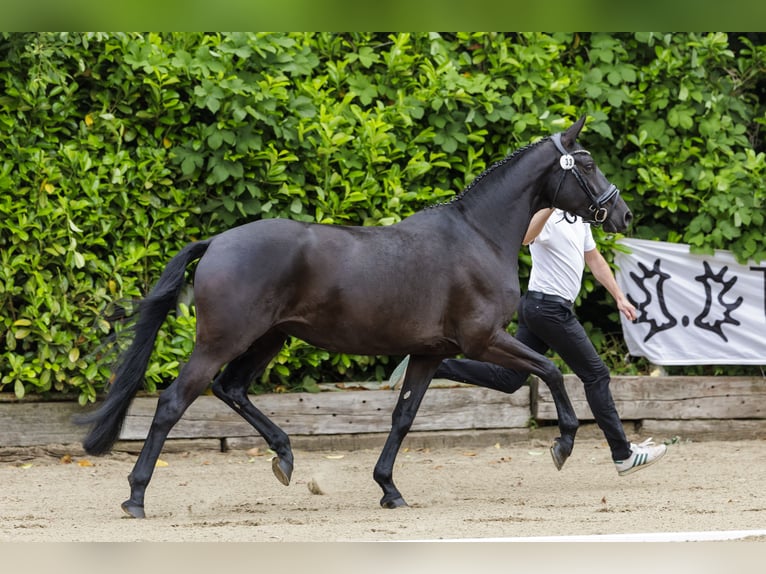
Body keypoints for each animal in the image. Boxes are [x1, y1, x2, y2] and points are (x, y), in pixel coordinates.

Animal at [78, 116, 632, 516]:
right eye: (586, 164)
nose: (622, 214)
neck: (478, 234)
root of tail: (215, 242)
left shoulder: (431, 353)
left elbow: (404, 417)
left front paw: (389, 489)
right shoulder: (483, 339)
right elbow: (552, 371)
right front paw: (563, 443)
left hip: (269, 339)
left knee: (231, 388)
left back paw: (284, 457)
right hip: (223, 341)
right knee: (175, 401)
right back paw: (135, 496)